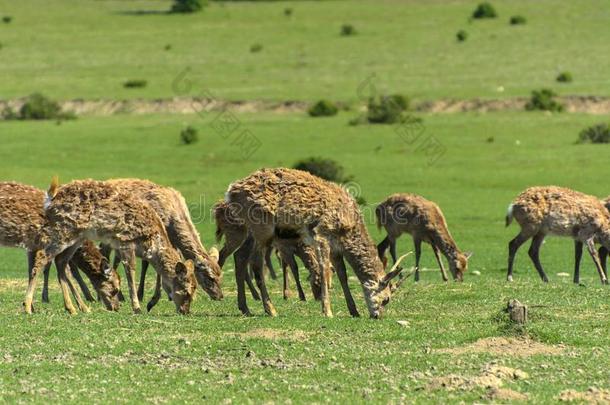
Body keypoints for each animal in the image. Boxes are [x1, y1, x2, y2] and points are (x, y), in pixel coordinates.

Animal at [0, 182, 121, 312]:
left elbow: (35, 269)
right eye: (115, 289)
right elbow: (68, 274)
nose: (116, 307)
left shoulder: (33, 247)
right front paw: (84, 306)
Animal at [25, 178, 196, 314]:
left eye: (196, 289)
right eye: (187, 292)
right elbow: (130, 271)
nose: (185, 311)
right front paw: (137, 307)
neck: (152, 241)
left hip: (77, 237)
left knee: (60, 261)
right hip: (64, 230)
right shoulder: (126, 241)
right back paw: (27, 306)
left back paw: (73, 308)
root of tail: (50, 199)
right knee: (43, 257)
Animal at [221, 168, 406, 318]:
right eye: (386, 299)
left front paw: (354, 311)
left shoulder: (336, 248)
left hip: (250, 231)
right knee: (256, 264)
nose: (377, 316)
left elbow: (342, 275)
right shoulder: (321, 236)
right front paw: (327, 311)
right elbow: (324, 270)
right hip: (263, 230)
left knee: (240, 256)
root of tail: (232, 191)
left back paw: (245, 308)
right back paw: (271, 309)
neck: (348, 226)